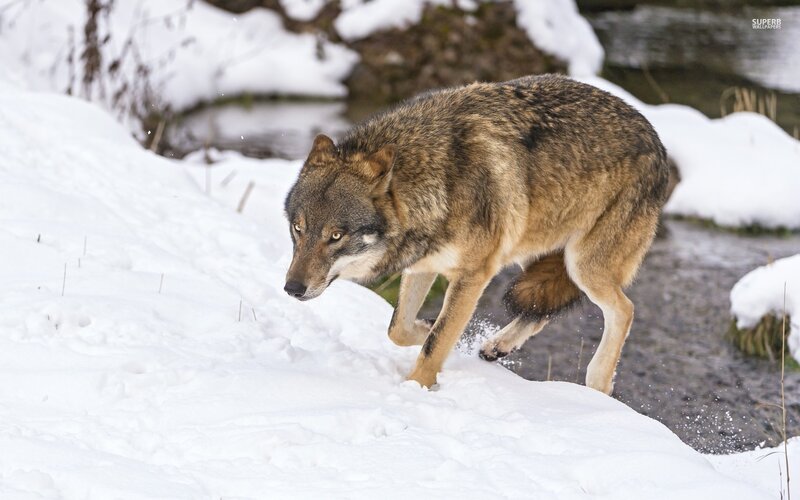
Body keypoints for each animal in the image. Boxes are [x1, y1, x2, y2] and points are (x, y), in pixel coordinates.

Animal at [283, 74, 669, 394]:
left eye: (336, 236)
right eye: (298, 229)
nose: (292, 289)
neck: (438, 179)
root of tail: (656, 138)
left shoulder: (474, 274)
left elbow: (435, 343)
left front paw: (414, 389)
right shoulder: (424, 264)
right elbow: (399, 329)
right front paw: (429, 327)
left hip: (583, 266)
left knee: (624, 310)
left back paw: (598, 384)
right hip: (532, 251)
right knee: (541, 307)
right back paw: (498, 346)